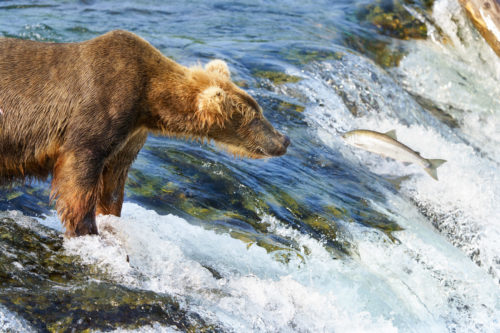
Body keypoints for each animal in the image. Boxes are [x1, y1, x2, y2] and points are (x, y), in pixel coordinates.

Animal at [0, 29, 290, 236]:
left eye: (259, 110)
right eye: (255, 116)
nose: (284, 140)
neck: (148, 101)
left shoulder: (130, 133)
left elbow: (114, 179)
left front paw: (110, 216)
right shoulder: (102, 107)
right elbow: (80, 169)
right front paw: (86, 229)